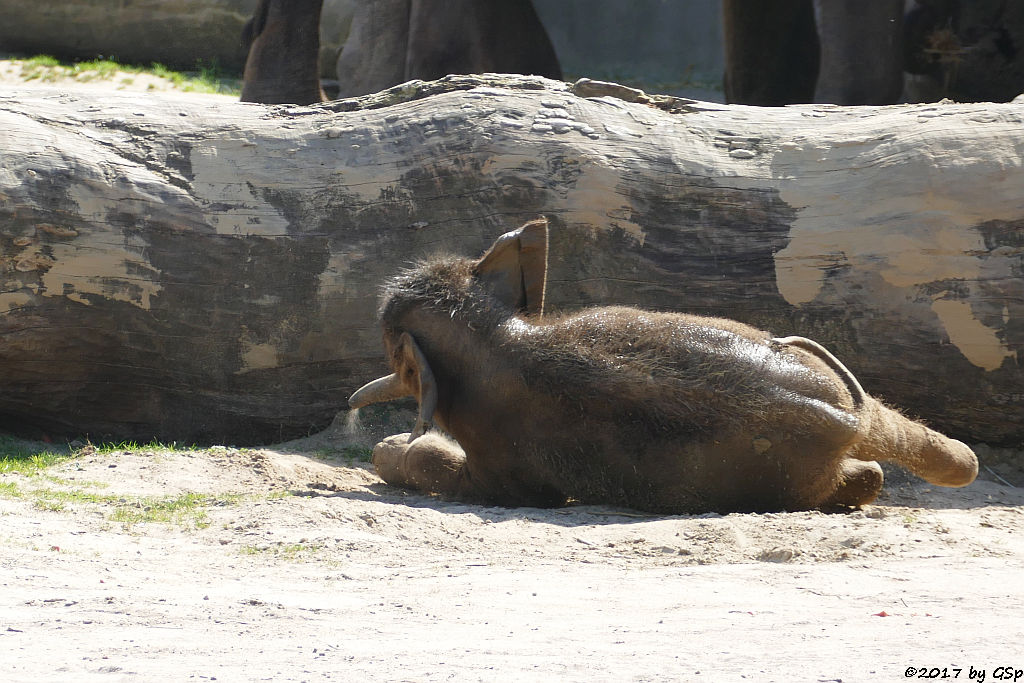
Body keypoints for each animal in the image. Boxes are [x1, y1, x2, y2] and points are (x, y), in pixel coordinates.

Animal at [350, 219, 974, 511]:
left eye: (395, 354)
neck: (491, 334)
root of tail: (843, 419)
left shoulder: (503, 463)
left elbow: (458, 476)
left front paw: (388, 451)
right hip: (828, 392)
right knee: (889, 444)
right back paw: (958, 466)